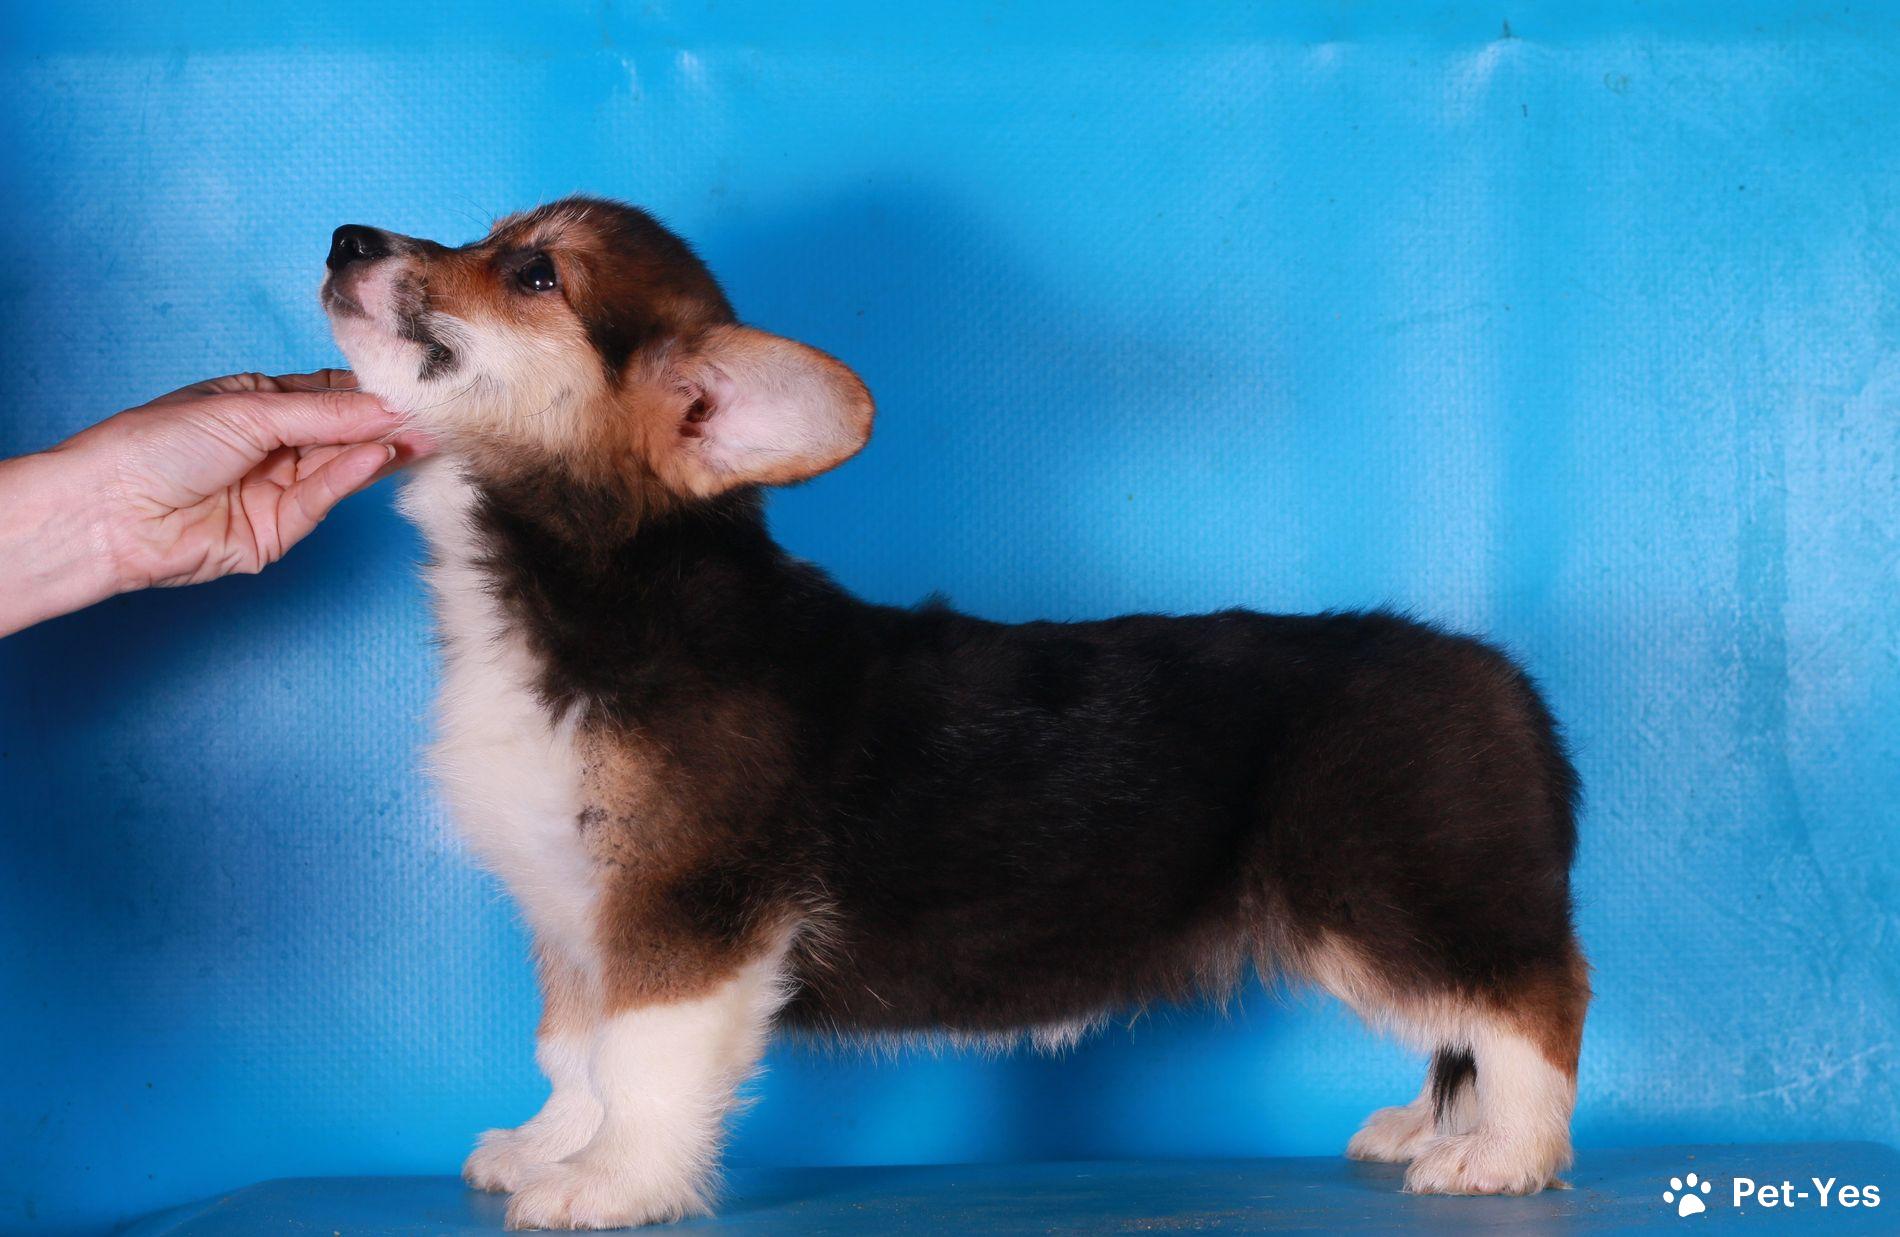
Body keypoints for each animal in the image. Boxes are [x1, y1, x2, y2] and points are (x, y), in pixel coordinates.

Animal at [322, 197, 1588, 1230]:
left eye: (534, 271)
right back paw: (1432, 1124)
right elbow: (572, 1053)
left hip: (1392, 895)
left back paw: (1503, 1152)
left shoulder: (685, 906)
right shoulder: (577, 911)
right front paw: (545, 1144)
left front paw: (610, 1183)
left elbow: (638, 1064)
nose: (345, 241)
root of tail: (1504, 681)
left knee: (1533, 999)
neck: (581, 572)